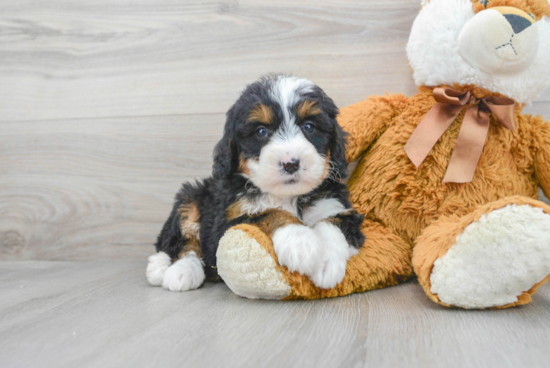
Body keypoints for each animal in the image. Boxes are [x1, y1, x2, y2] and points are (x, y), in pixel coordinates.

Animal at [146, 75, 366, 292]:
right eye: (261, 131)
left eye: (309, 127)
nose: (290, 163)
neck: (287, 196)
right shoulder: (225, 224)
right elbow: (268, 213)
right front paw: (300, 240)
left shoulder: (335, 205)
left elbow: (333, 224)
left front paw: (326, 262)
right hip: (190, 197)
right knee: (181, 243)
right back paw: (173, 270)